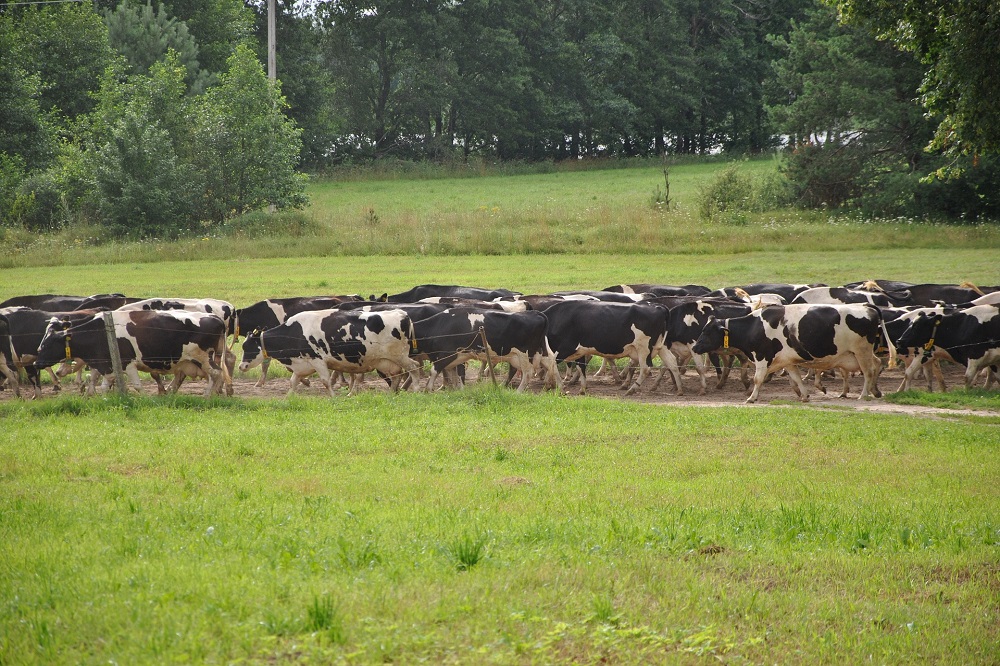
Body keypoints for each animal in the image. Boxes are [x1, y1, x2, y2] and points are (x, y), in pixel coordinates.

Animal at [34, 310, 231, 396]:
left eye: (48, 343)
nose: (36, 362)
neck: (99, 330)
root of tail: (215, 317)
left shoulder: (128, 363)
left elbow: (137, 385)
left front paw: (145, 399)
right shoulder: (107, 364)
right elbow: (103, 384)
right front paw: (104, 399)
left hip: (204, 358)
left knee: (216, 373)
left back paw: (208, 395)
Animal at [240, 308, 420, 394]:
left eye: (248, 347)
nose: (241, 366)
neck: (296, 332)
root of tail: (401, 313)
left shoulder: (318, 361)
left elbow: (326, 381)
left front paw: (333, 397)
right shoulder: (301, 365)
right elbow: (293, 382)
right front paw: (287, 398)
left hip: (400, 356)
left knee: (414, 368)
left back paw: (417, 390)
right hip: (385, 361)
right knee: (396, 375)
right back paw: (391, 393)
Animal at [410, 308, 560, 392]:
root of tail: (535, 313)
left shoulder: (446, 355)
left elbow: (434, 371)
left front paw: (427, 390)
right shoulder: (457, 357)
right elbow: (456, 374)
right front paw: (459, 390)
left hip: (524, 354)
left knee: (528, 372)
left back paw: (518, 392)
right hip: (538, 352)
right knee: (550, 363)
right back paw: (558, 387)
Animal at [692, 304, 896, 402]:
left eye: (707, 332)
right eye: (703, 330)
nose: (694, 347)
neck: (754, 326)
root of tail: (867, 307)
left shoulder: (762, 357)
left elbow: (757, 379)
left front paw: (751, 398)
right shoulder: (788, 361)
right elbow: (796, 378)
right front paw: (805, 396)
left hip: (861, 351)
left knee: (868, 371)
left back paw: (863, 394)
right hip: (860, 353)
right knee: (877, 365)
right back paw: (875, 391)